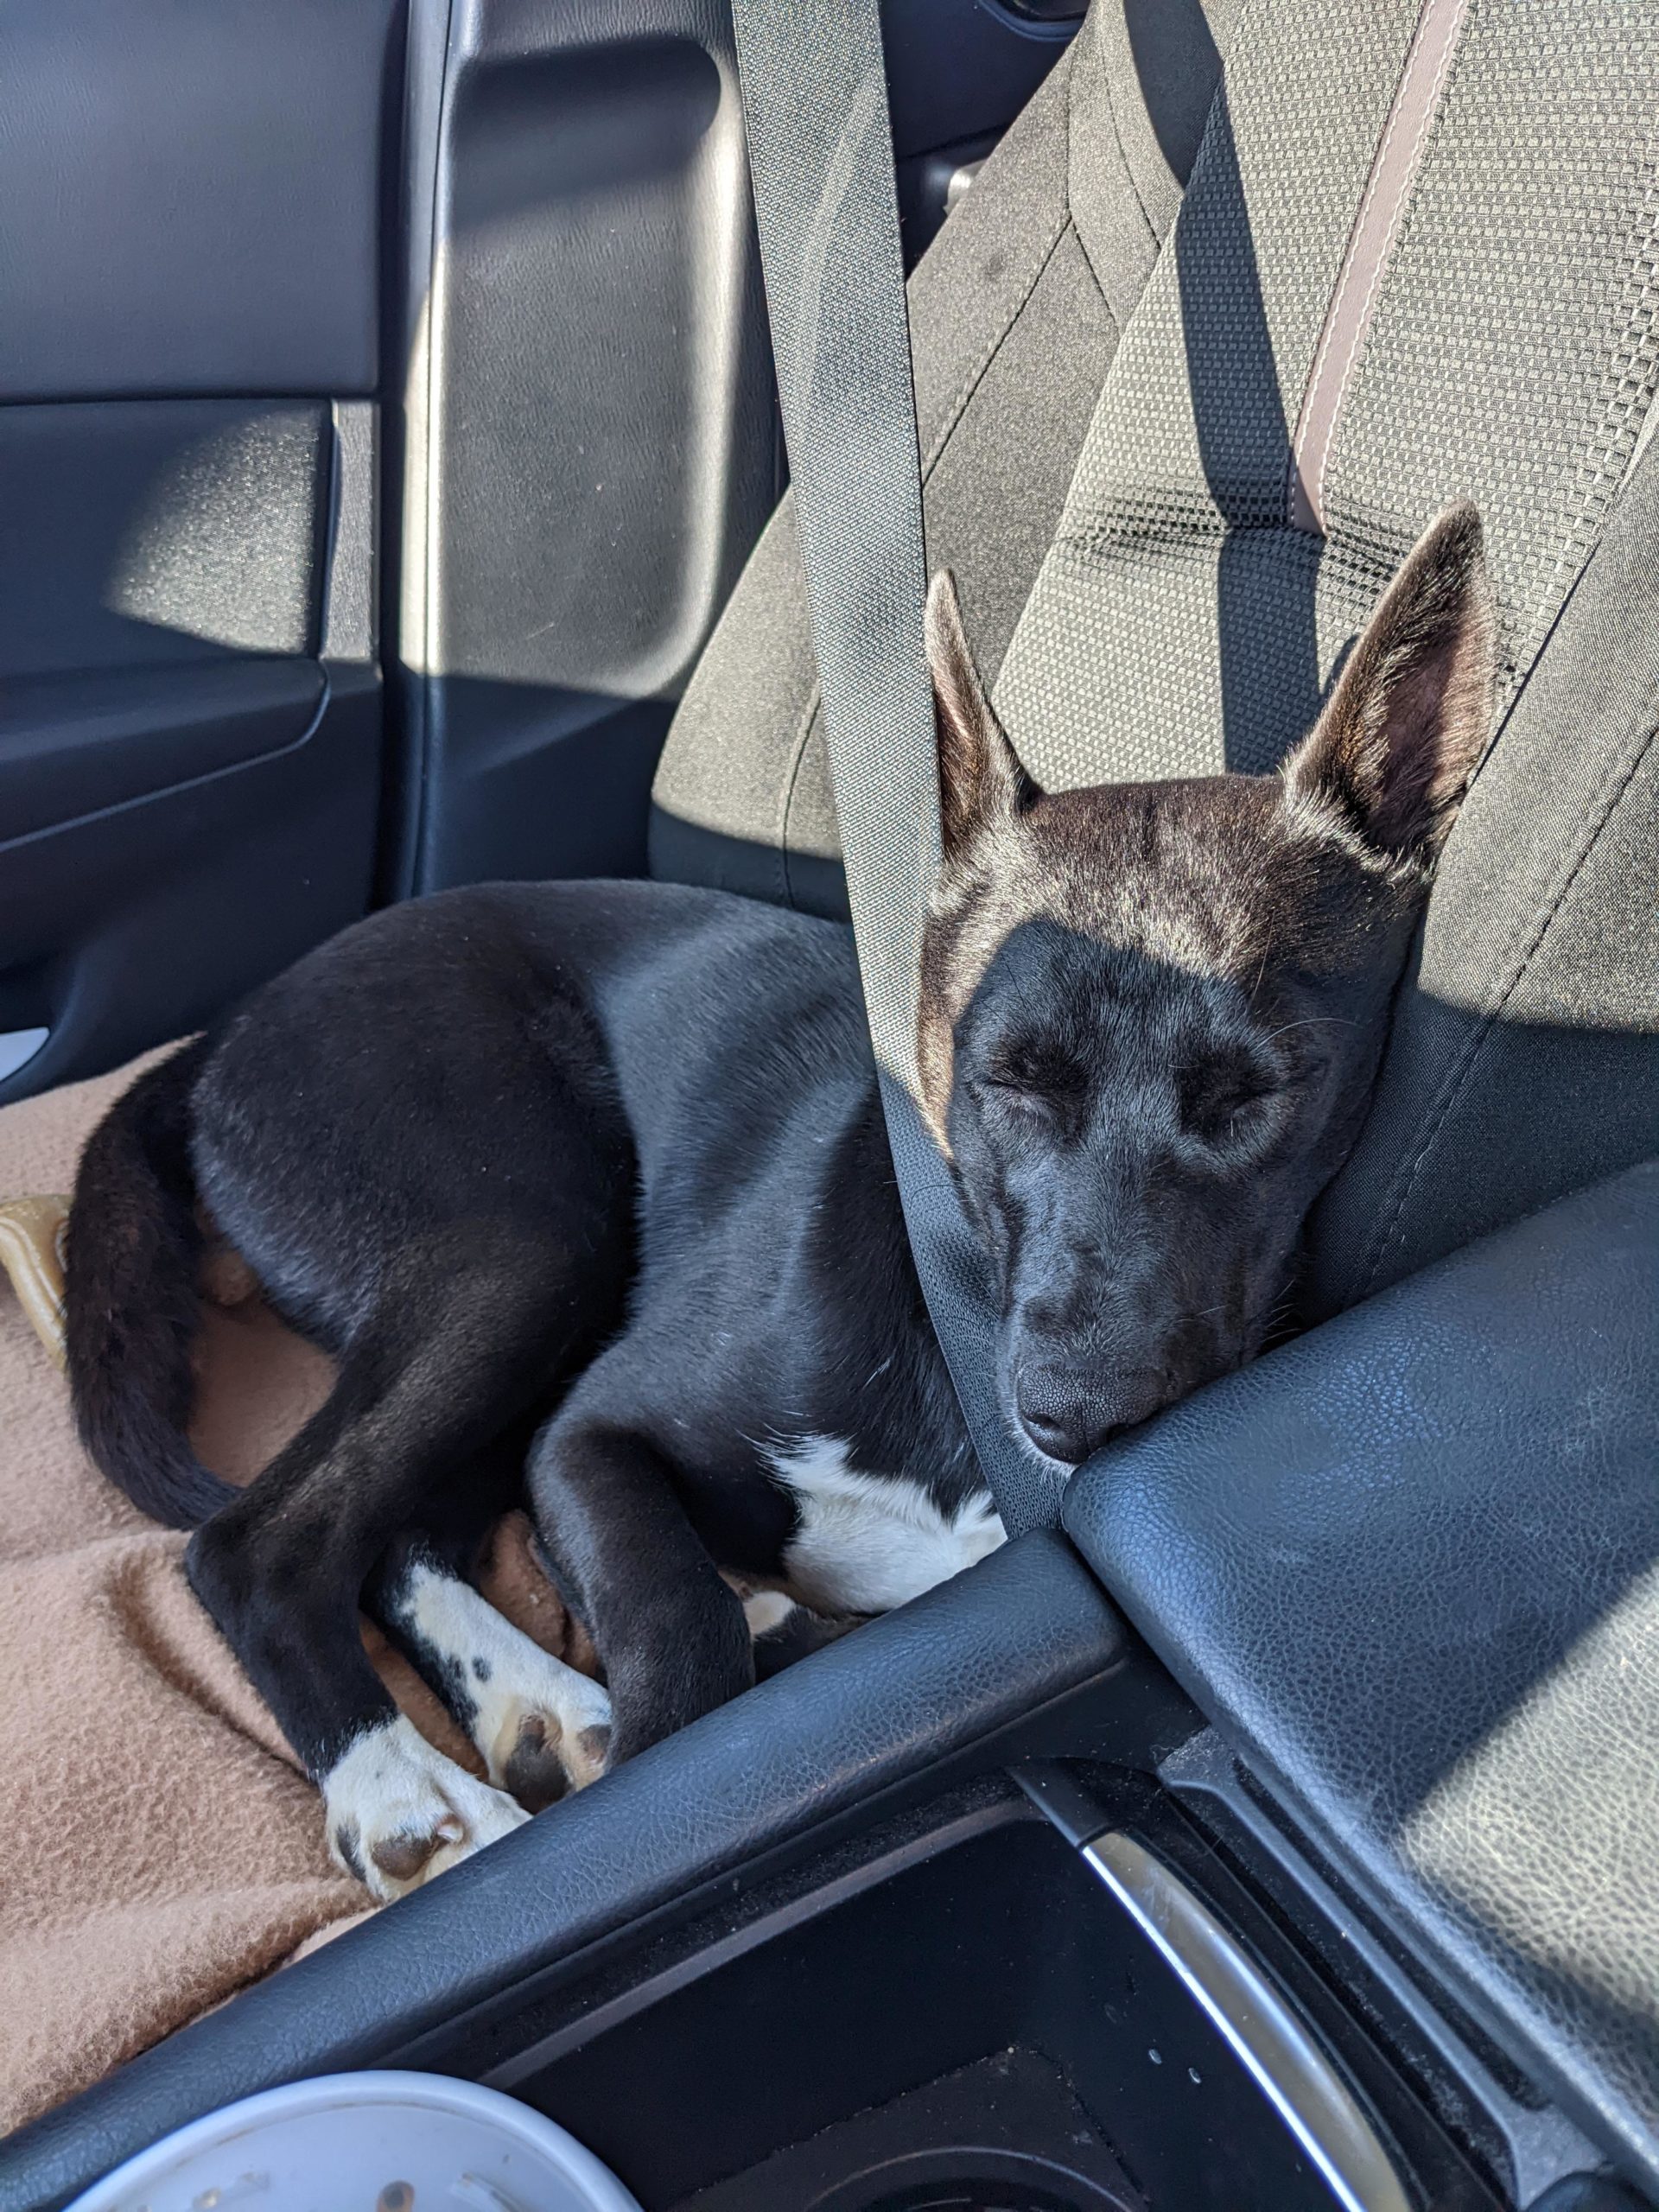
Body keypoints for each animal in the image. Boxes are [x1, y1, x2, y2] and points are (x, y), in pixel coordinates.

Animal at [65, 506, 1503, 1902]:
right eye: (1005, 1078)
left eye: (1263, 1093)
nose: (1075, 1420)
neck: (952, 1318)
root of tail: (226, 1033)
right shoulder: (593, 1434)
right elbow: (681, 1641)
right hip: (524, 1237)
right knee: (258, 1542)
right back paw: (398, 1784)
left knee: (401, 1532)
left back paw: (535, 1705)